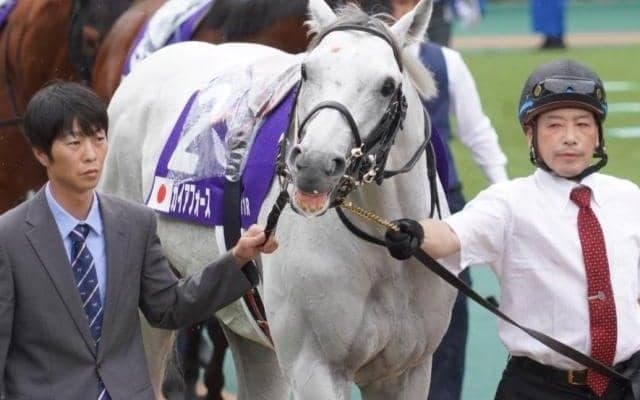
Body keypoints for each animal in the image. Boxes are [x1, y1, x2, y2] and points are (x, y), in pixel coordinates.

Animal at [101, 0, 456, 398]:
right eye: (306, 70)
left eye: (387, 86)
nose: (314, 162)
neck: (384, 244)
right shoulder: (314, 366)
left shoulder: (407, 370)